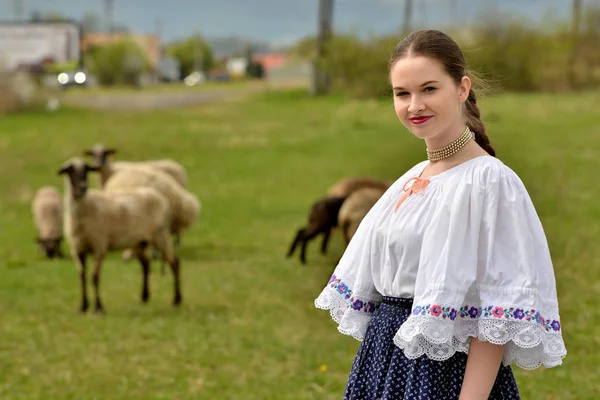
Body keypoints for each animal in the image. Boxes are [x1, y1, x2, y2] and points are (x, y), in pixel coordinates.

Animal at [58, 158, 183, 314]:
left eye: (86, 169)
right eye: (70, 170)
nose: (83, 187)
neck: (86, 207)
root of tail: (157, 195)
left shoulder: (99, 246)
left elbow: (95, 277)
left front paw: (98, 308)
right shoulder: (77, 250)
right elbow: (82, 276)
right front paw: (83, 307)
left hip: (161, 235)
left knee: (174, 263)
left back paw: (176, 300)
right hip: (138, 242)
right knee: (146, 264)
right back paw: (144, 297)